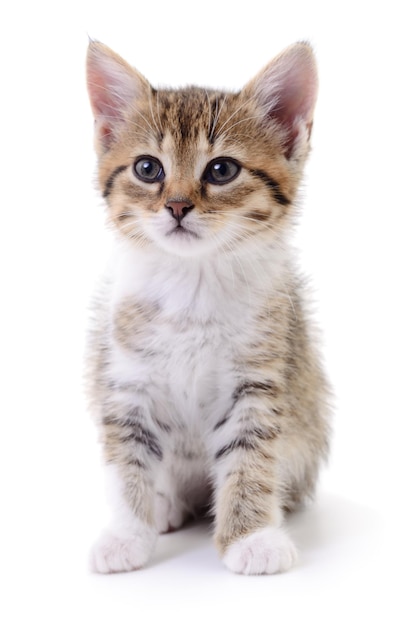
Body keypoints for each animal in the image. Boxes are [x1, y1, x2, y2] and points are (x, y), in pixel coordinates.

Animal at [86, 41, 330, 572]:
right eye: (148, 168)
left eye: (221, 170)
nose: (177, 206)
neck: (192, 283)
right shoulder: (127, 379)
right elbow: (128, 457)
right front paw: (127, 534)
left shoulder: (258, 377)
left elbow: (249, 456)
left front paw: (250, 538)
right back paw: (166, 506)